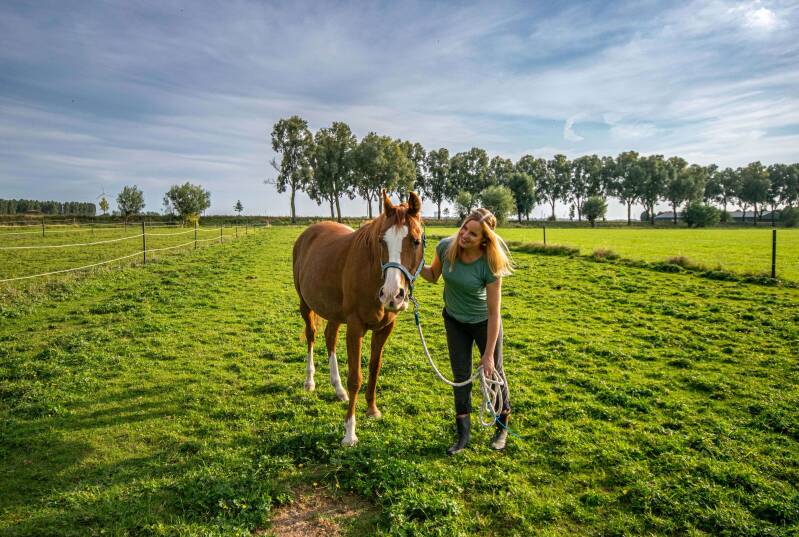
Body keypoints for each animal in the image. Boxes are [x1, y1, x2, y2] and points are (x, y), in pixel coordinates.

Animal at [292, 191, 424, 446]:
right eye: (382, 241)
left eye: (415, 241)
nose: (391, 294)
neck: (372, 273)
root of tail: (309, 232)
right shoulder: (355, 328)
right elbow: (356, 377)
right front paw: (349, 432)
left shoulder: (385, 328)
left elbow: (374, 367)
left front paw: (372, 409)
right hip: (306, 305)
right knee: (312, 336)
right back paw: (309, 381)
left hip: (333, 312)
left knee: (330, 338)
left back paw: (338, 389)